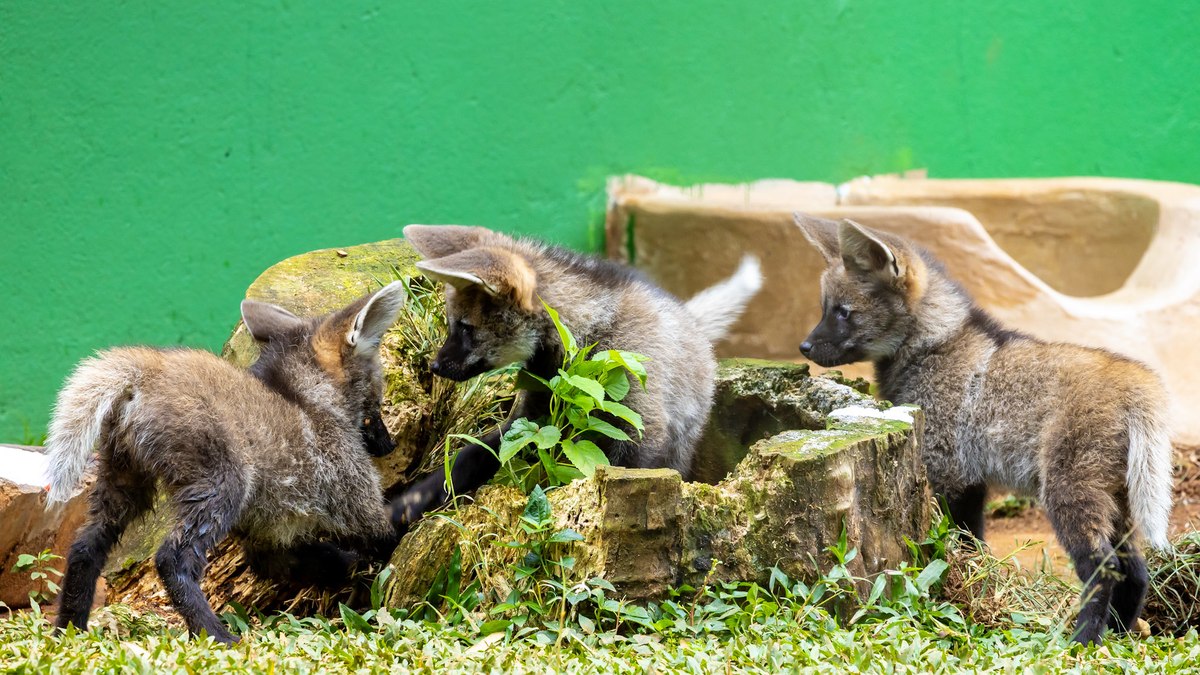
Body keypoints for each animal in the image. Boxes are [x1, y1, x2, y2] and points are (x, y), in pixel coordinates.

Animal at [45, 282, 409, 644]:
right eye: (377, 399)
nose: (389, 444)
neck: (308, 401)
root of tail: (148, 369)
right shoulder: (355, 503)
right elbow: (389, 536)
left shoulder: (270, 537)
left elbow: (307, 561)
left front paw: (349, 566)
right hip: (225, 483)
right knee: (171, 558)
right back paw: (216, 635)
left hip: (124, 479)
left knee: (85, 547)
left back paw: (69, 626)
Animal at [391, 224, 762, 525]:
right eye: (452, 324)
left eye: (466, 328)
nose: (434, 366)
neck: (590, 332)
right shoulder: (533, 415)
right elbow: (473, 454)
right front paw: (408, 503)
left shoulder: (641, 428)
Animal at [792, 213, 1173, 644]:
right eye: (825, 309)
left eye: (843, 312)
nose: (804, 347)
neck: (934, 346)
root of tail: (1139, 381)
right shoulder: (969, 481)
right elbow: (970, 550)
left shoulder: (949, 475)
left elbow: (956, 544)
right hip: (1118, 500)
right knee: (1136, 571)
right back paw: (1119, 634)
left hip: (1067, 491)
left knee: (1105, 567)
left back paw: (1082, 641)